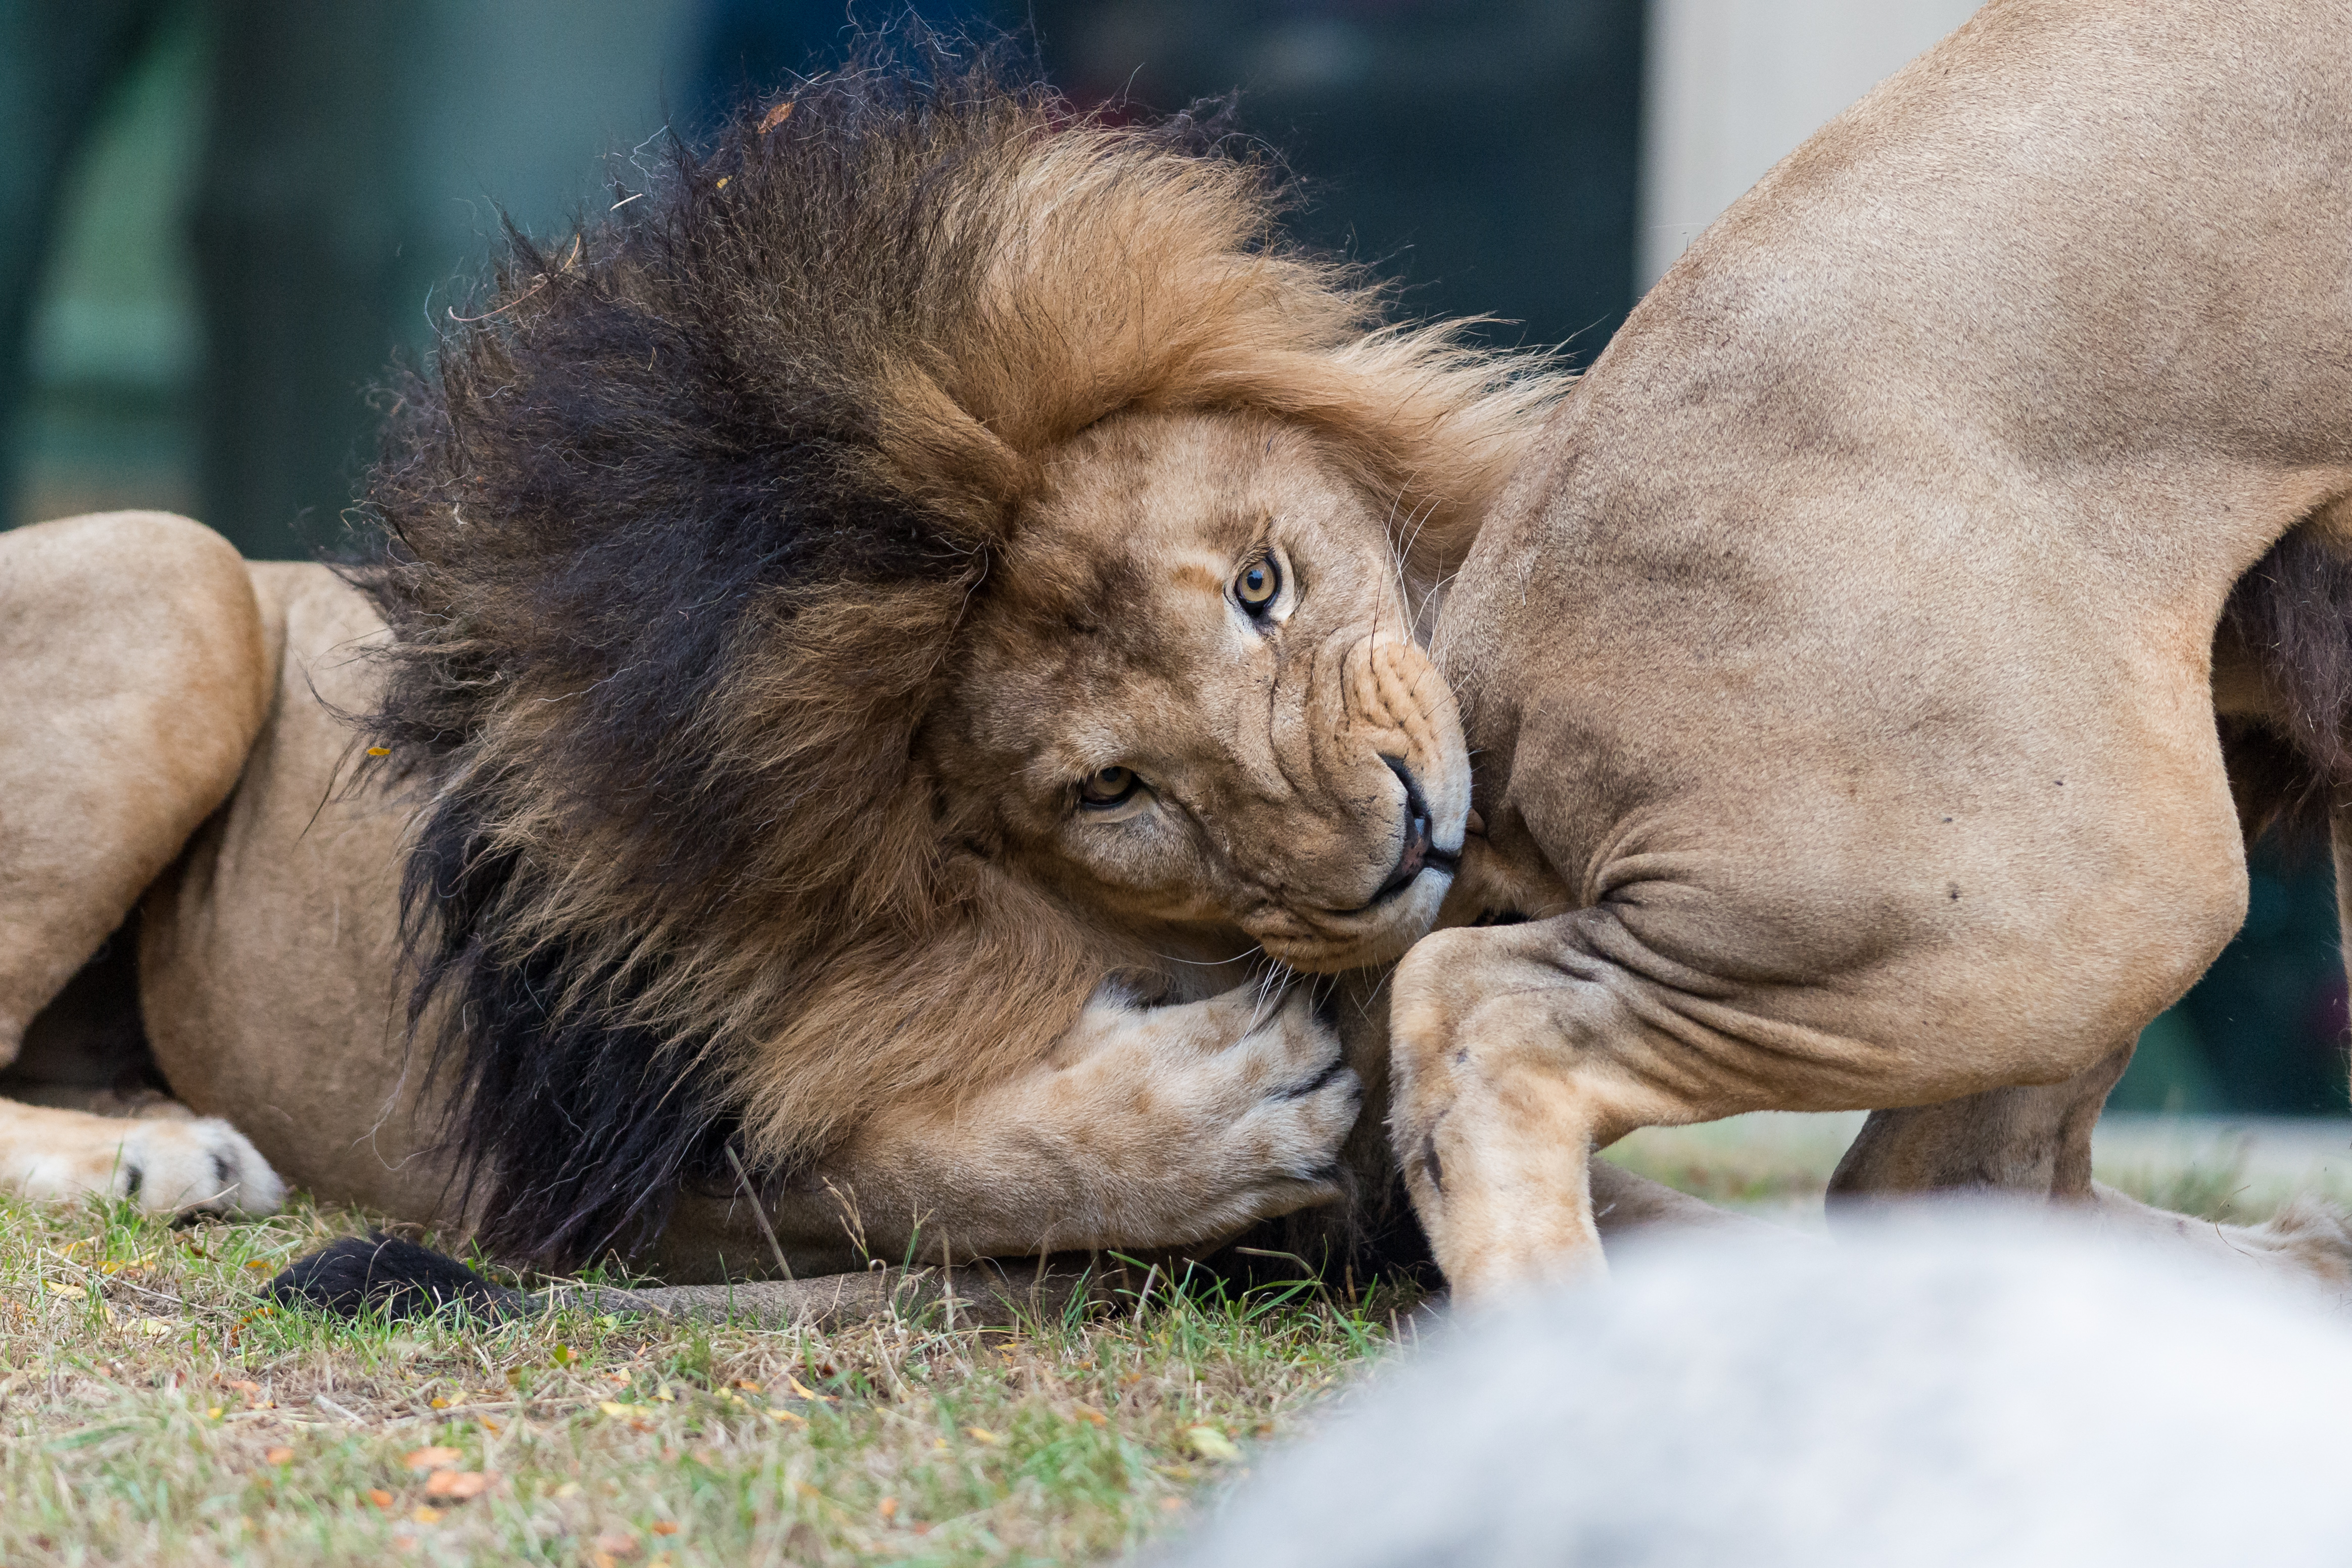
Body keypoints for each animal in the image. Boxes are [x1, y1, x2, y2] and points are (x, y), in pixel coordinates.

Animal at [5, 36, 1618, 1288]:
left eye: (1260, 584)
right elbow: (927, 1168)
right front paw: (1213, 1115)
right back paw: (156, 1154)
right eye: (1111, 791)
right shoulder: (641, 1152)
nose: (1398, 840)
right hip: (180, 579)